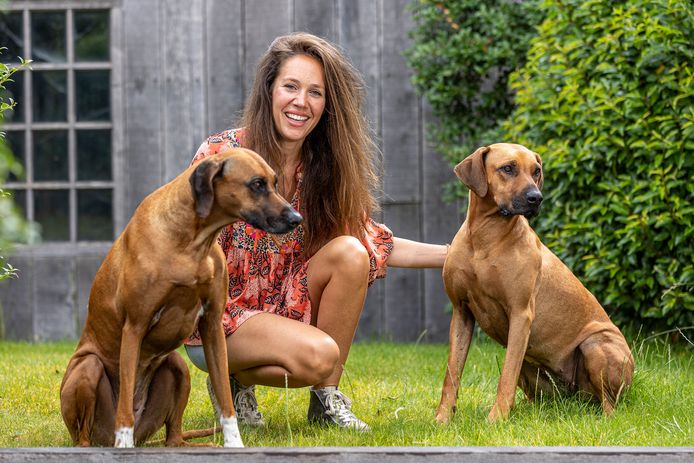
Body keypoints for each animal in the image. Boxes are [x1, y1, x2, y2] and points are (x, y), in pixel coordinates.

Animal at [57, 148, 302, 446]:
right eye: (257, 184)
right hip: (88, 369)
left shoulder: (212, 327)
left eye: (275, 183)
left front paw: (234, 443)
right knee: (86, 433)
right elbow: (124, 402)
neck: (192, 242)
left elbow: (225, 397)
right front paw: (123, 443)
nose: (297, 218)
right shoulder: (134, 326)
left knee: (173, 436)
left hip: (178, 367)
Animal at [440, 144, 636, 424]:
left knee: (610, 403)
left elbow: (506, 376)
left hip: (595, 345)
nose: (537, 197)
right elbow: (452, 374)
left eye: (536, 171)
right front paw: (442, 419)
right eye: (508, 168)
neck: (485, 237)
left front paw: (495, 420)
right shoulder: (462, 312)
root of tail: (575, 396)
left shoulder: (521, 314)